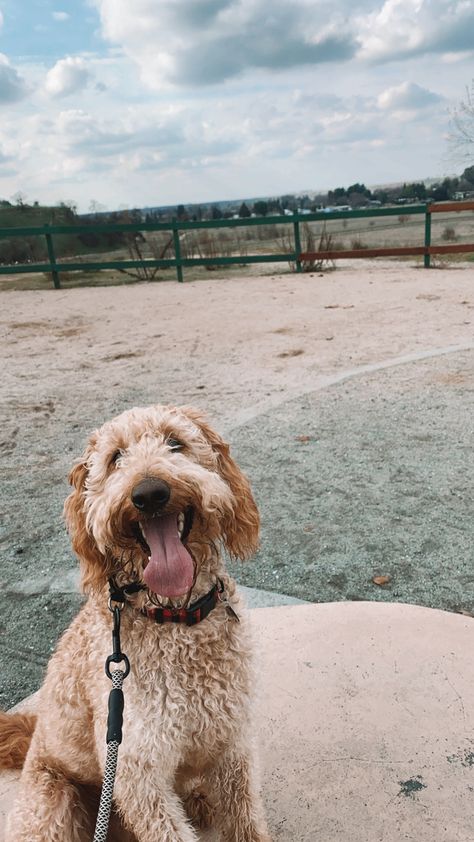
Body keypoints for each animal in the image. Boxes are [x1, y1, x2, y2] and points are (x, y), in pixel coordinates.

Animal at [0, 404, 270, 836]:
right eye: (115, 459)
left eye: (175, 442)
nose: (149, 494)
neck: (175, 618)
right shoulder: (136, 770)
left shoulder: (232, 743)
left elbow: (246, 821)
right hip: (50, 805)